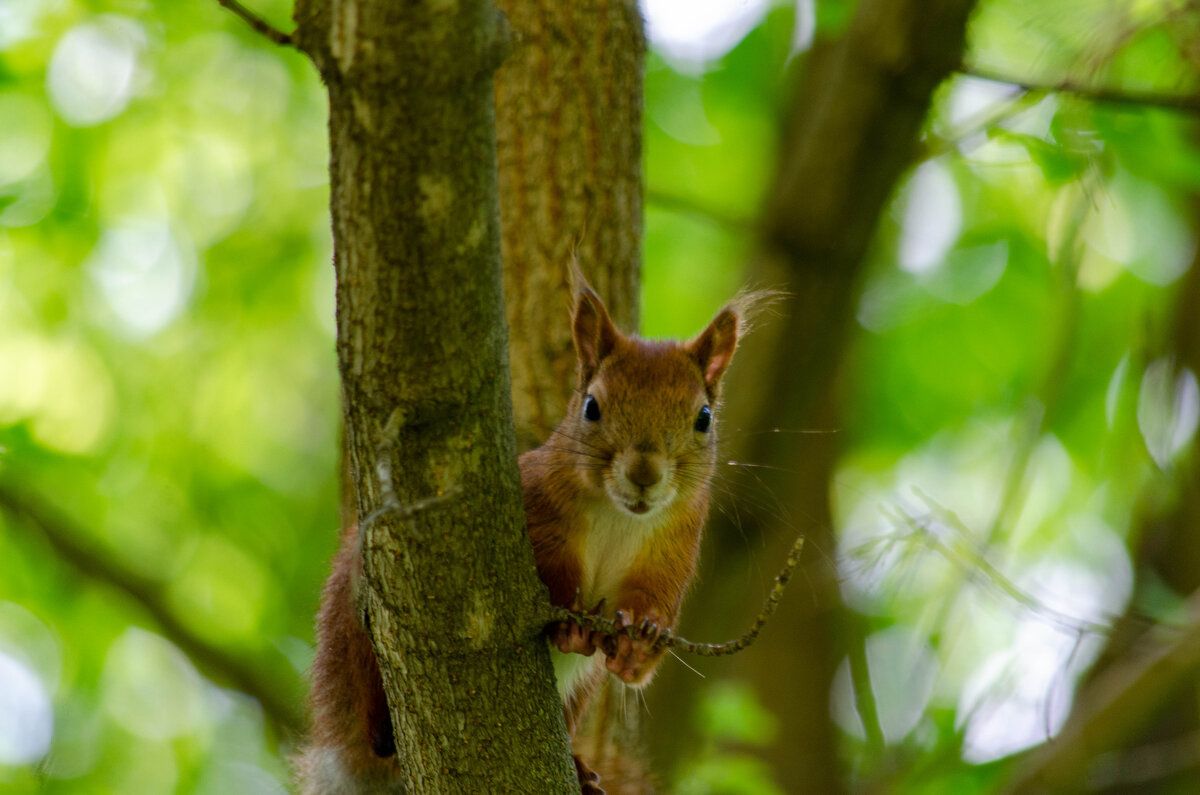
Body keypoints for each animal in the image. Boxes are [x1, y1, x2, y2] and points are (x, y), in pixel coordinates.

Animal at [297, 279, 739, 795]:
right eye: (592, 407)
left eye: (703, 417)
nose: (644, 475)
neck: (621, 517)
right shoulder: (534, 508)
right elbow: (542, 576)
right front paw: (570, 624)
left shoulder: (672, 553)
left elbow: (647, 630)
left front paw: (642, 641)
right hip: (357, 628)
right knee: (372, 720)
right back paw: (383, 727)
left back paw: (580, 769)